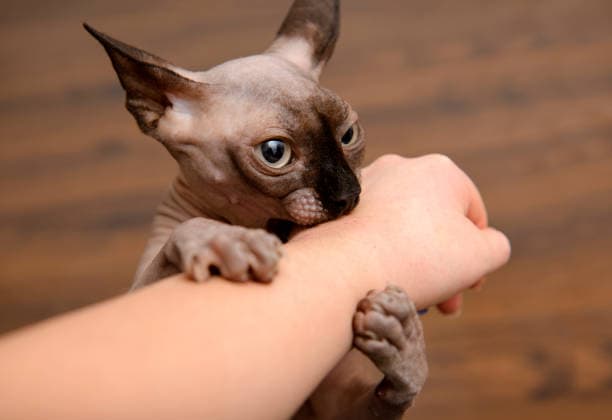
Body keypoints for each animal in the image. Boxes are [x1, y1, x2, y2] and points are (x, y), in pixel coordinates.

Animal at [83, 1, 428, 418]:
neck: (264, 224)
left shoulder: (336, 408)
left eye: (348, 135)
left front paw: (401, 338)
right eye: (275, 153)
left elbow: (396, 391)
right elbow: (182, 237)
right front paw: (221, 240)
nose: (349, 196)